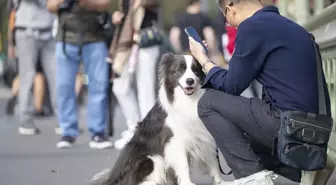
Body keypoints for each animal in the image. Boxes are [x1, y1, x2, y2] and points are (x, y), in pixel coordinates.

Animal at [92, 52, 227, 185]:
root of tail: (113, 178)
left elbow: (213, 161)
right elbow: (183, 164)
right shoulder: (174, 140)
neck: (187, 99)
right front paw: (188, 183)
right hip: (151, 158)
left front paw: (220, 182)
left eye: (195, 69)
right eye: (180, 69)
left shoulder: (203, 135)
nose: (190, 81)